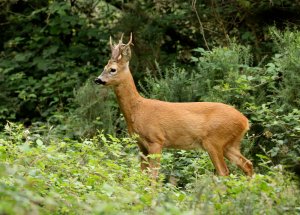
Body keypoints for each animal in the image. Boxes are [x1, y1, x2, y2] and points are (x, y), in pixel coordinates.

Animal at [94, 33, 253, 178]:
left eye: (113, 69)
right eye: (104, 67)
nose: (98, 80)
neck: (137, 110)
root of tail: (245, 121)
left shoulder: (156, 140)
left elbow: (154, 176)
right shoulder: (140, 144)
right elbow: (142, 175)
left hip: (214, 140)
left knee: (224, 171)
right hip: (230, 144)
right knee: (247, 164)